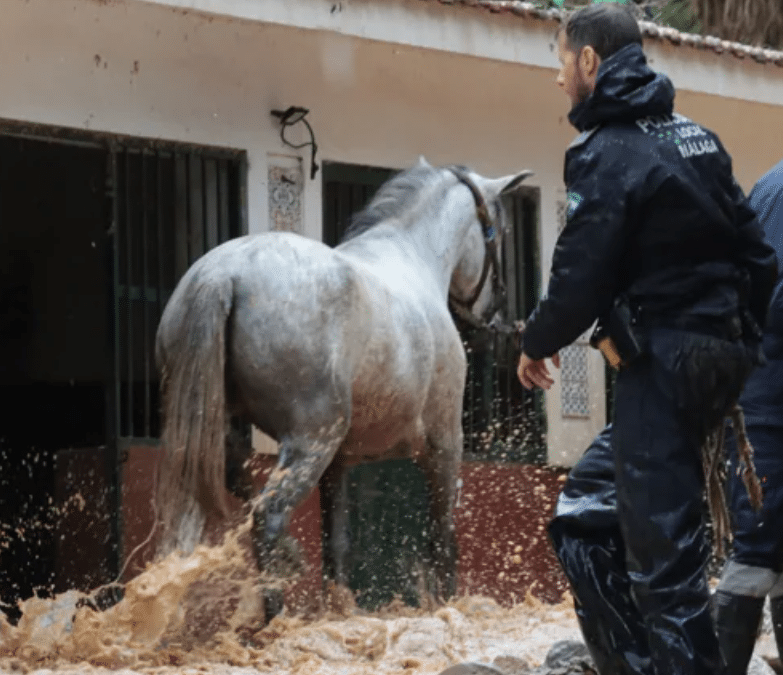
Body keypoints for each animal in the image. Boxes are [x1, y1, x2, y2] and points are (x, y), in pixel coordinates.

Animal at [155, 157, 532, 616]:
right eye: (500, 230)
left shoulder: (339, 464)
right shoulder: (444, 445)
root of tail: (223, 274)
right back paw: (275, 610)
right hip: (310, 441)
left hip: (224, 436)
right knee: (267, 516)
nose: (493, 315)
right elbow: (442, 537)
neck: (412, 257)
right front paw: (444, 603)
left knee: (224, 503)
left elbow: (337, 544)